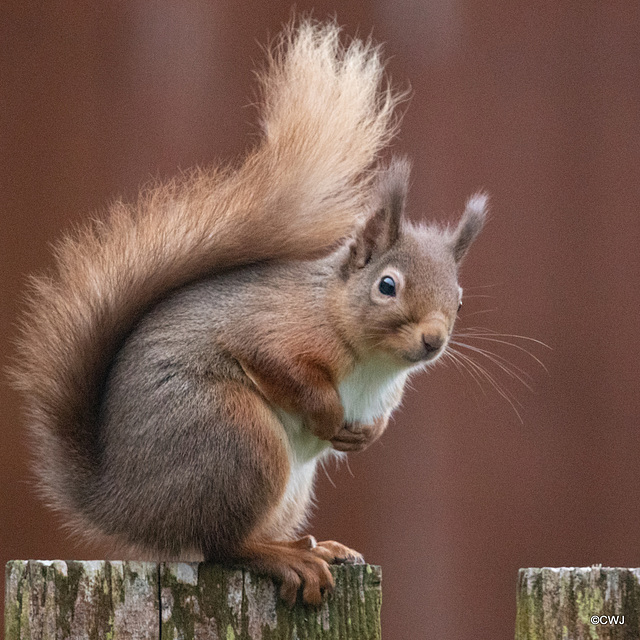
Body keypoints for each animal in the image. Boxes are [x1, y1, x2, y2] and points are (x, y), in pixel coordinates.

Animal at [11, 22, 484, 608]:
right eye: (387, 286)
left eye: (459, 299)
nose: (433, 340)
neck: (368, 356)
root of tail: (125, 503)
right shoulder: (271, 333)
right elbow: (283, 370)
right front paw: (329, 416)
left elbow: (379, 417)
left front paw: (364, 435)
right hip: (235, 439)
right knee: (222, 545)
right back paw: (286, 557)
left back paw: (316, 546)